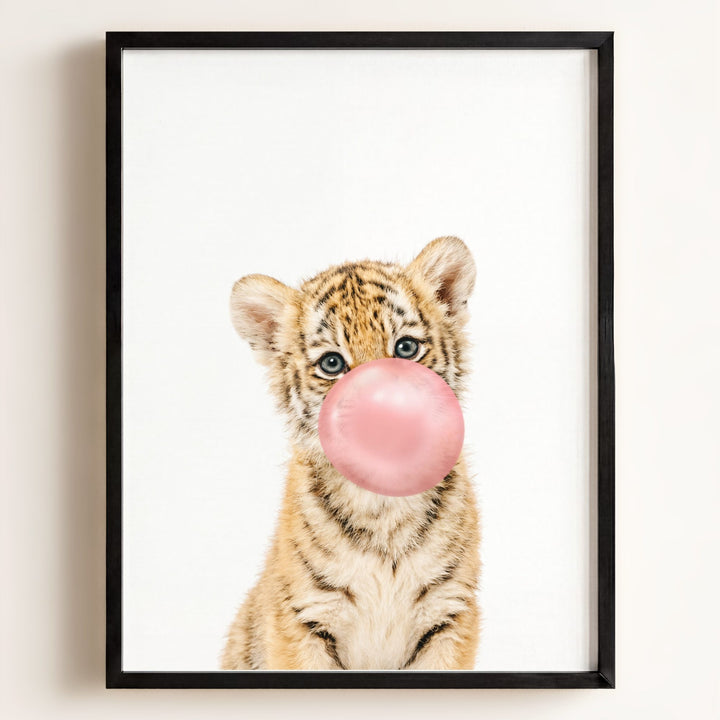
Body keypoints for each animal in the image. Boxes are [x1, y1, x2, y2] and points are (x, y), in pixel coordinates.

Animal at [221, 236, 480, 671]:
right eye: (332, 363)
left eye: (405, 348)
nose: (384, 412)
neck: (384, 505)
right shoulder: (303, 618)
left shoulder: (449, 613)